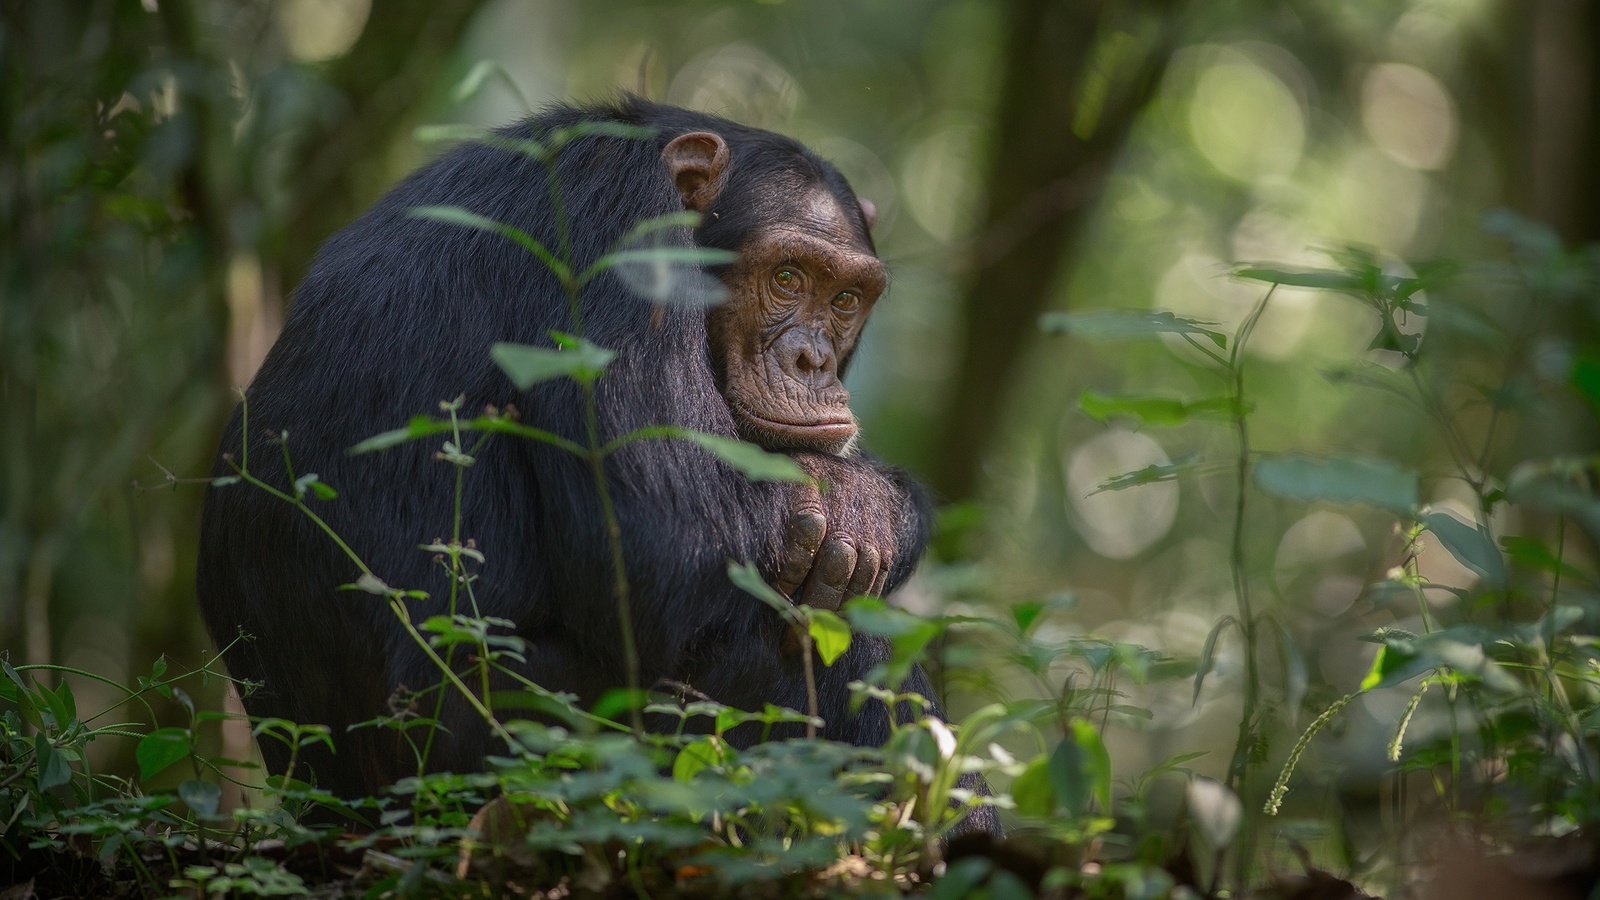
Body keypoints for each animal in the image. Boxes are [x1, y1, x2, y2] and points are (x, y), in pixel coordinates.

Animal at [198, 98, 992, 832]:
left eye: (846, 297)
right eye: (789, 277)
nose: (813, 360)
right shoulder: (612, 223)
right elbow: (666, 538)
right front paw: (863, 505)